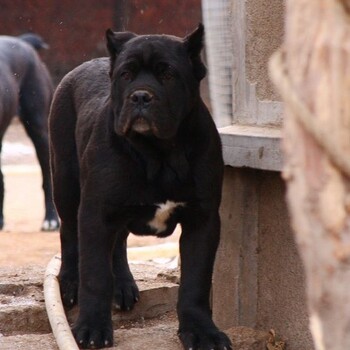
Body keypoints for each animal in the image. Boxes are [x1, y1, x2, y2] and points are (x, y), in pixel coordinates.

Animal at [48, 25, 230, 350]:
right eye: (125, 74)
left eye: (168, 74)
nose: (141, 96)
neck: (160, 153)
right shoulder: (96, 212)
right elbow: (95, 274)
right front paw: (92, 328)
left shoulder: (203, 219)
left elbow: (196, 280)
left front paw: (201, 331)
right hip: (66, 184)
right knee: (69, 234)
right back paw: (69, 284)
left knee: (118, 243)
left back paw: (122, 285)